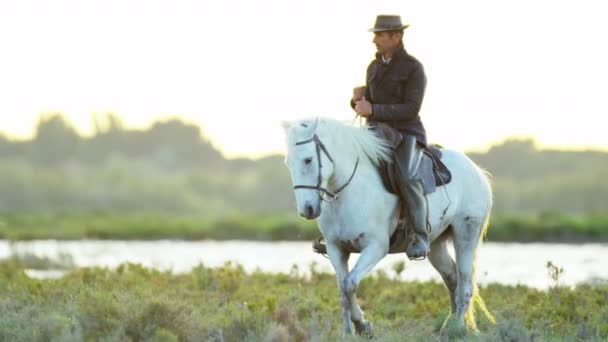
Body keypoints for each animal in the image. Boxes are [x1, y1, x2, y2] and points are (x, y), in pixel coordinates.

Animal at [282, 117, 496, 336]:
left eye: (308, 160)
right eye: (288, 163)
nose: (307, 210)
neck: (349, 191)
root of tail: (477, 171)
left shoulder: (375, 247)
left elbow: (350, 283)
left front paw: (363, 325)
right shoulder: (336, 249)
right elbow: (342, 290)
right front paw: (348, 332)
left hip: (466, 234)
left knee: (465, 283)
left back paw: (458, 328)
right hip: (436, 244)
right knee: (452, 278)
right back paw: (449, 326)